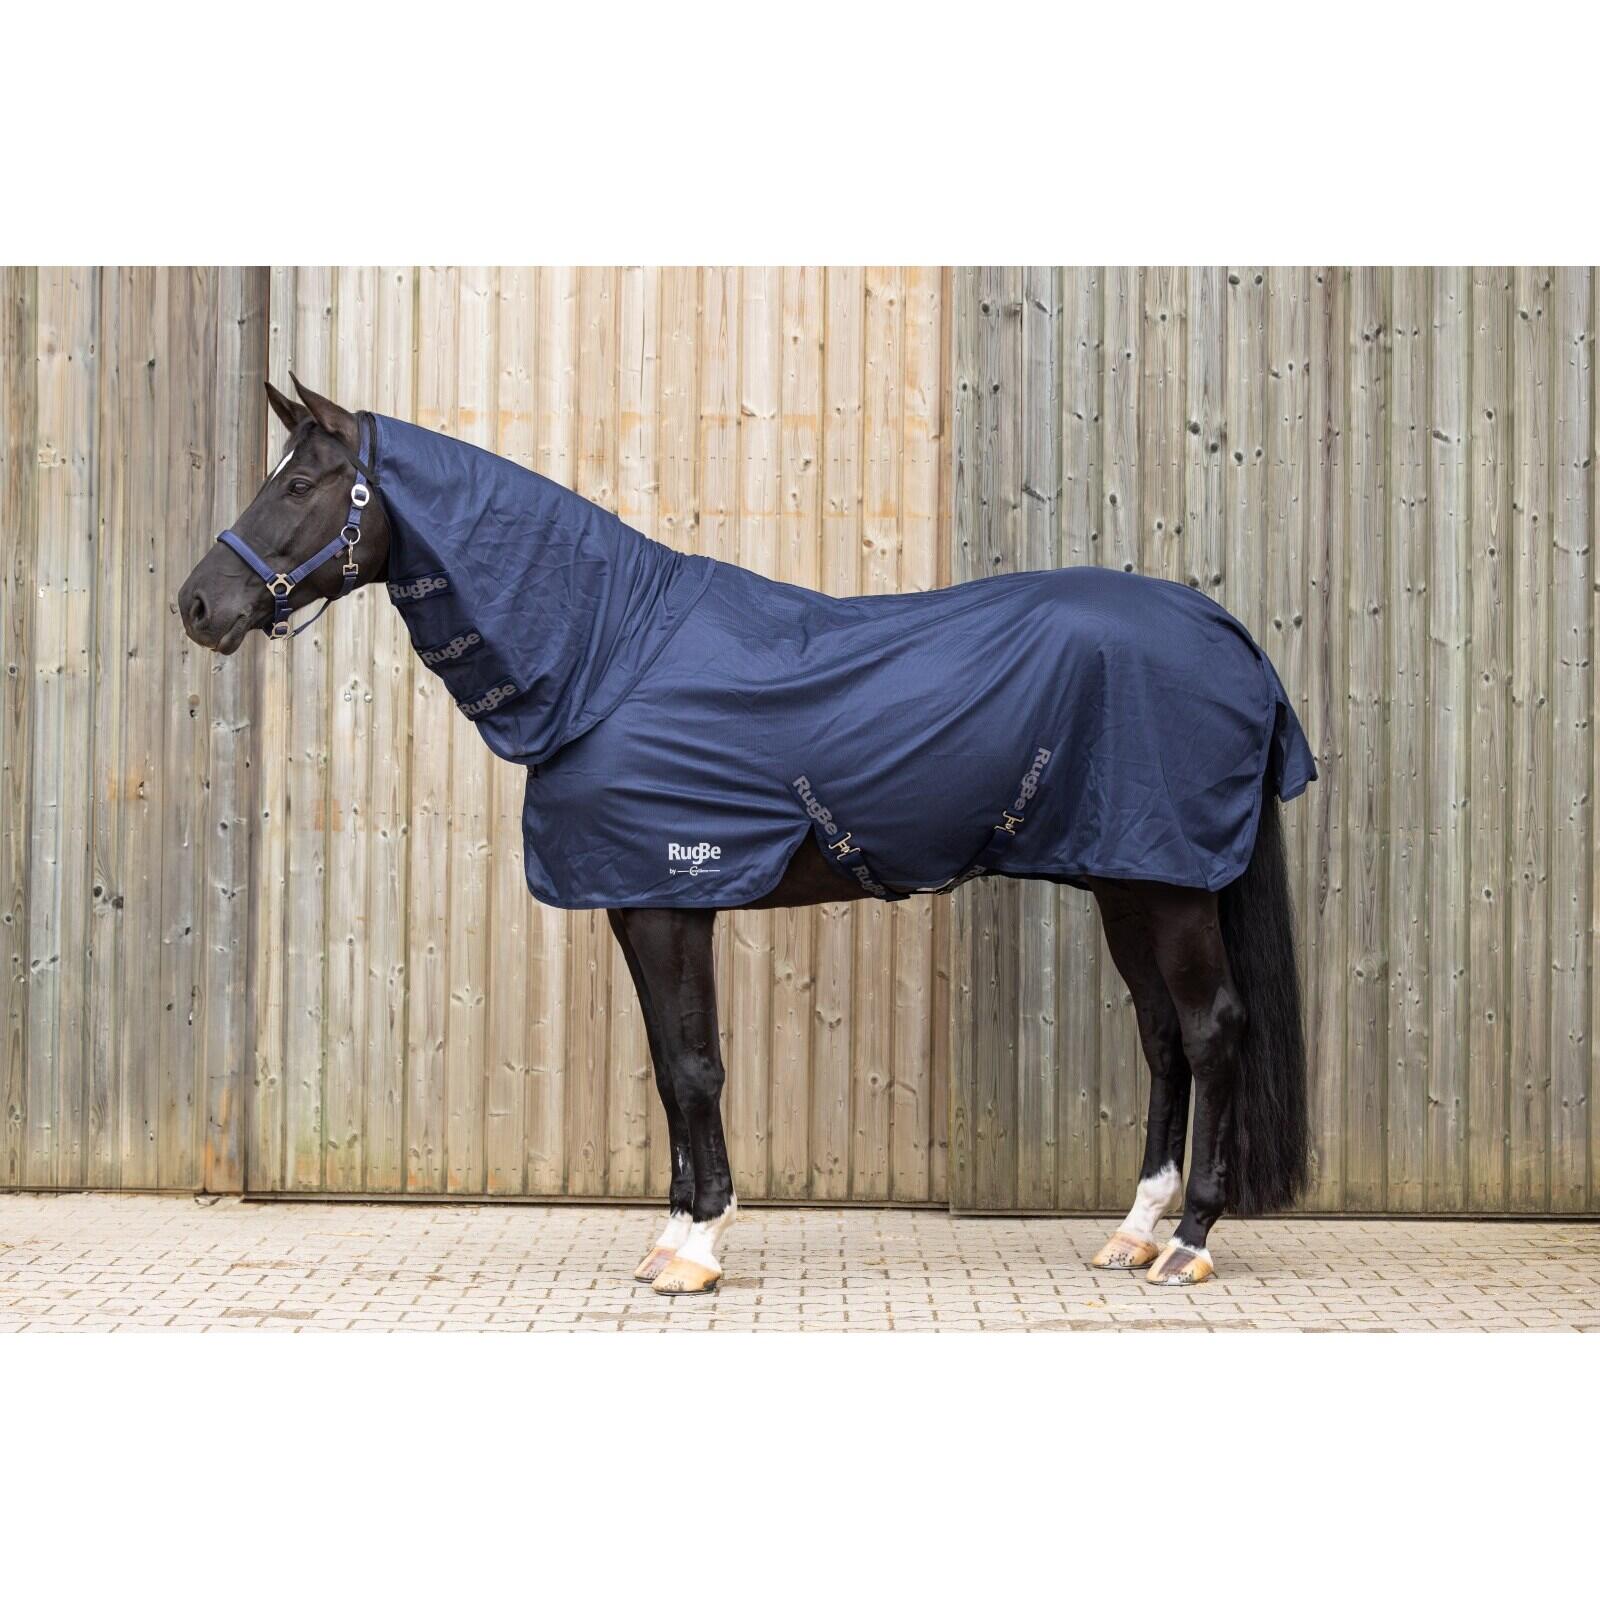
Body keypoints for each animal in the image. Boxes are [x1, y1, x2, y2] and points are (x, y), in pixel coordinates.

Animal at [177, 375, 1315, 1294]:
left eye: (299, 486)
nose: (198, 604)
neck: (608, 656)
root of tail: (1227, 635)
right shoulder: (638, 901)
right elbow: (665, 1061)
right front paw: (672, 1233)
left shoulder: (675, 898)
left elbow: (694, 1066)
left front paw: (697, 1248)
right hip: (1130, 879)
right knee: (1163, 1037)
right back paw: (1133, 1231)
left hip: (1169, 887)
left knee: (1213, 1030)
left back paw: (1188, 1243)